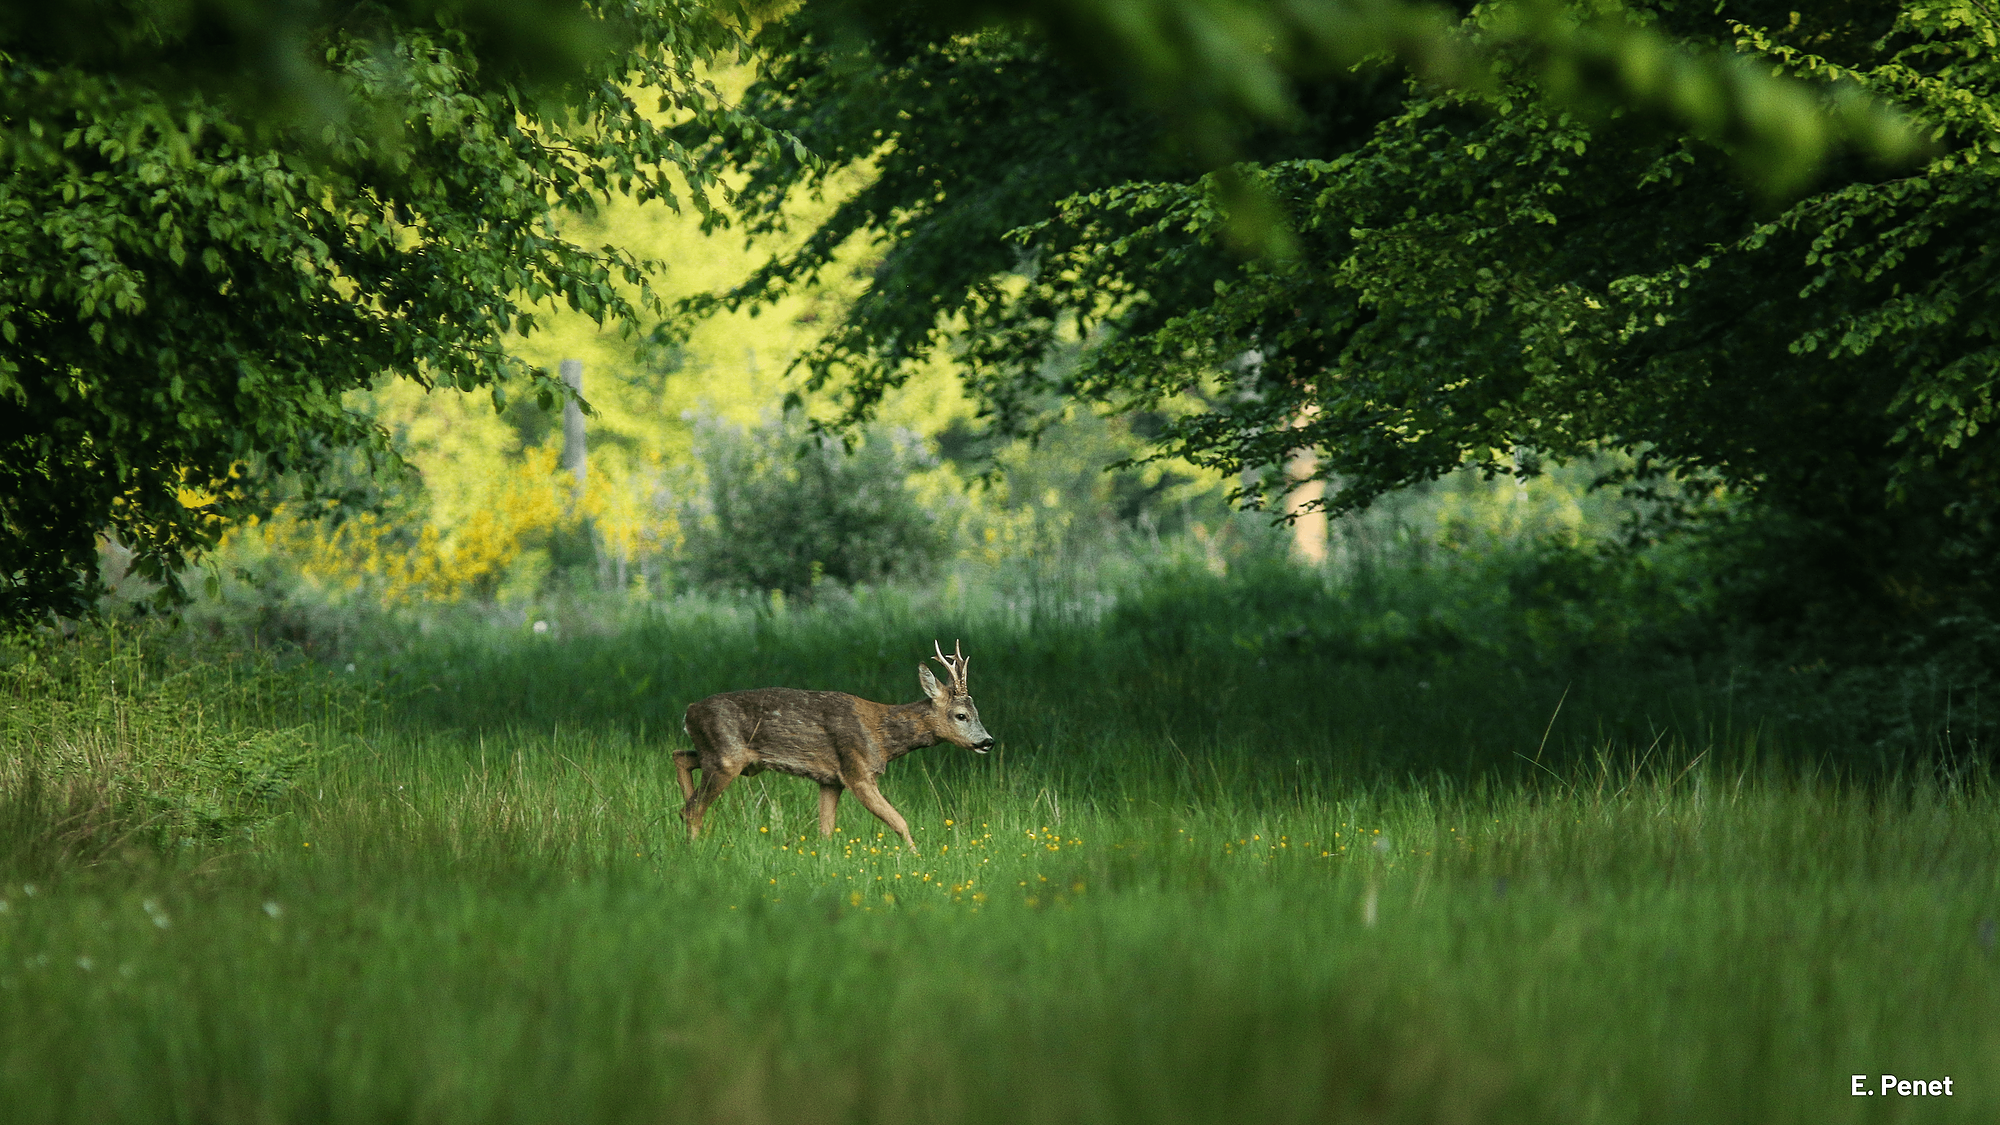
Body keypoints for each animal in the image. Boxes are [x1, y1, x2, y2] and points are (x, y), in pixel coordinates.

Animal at [680, 640, 992, 848]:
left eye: (977, 712)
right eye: (961, 715)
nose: (988, 741)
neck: (882, 739)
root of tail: (688, 712)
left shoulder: (831, 780)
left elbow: (826, 829)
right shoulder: (857, 771)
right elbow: (900, 822)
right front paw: (915, 857)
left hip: (723, 756)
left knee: (681, 759)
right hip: (726, 757)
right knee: (691, 810)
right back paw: (694, 849)